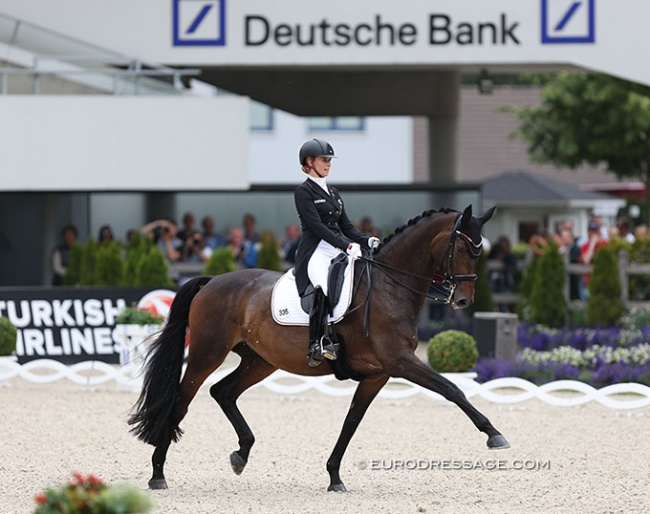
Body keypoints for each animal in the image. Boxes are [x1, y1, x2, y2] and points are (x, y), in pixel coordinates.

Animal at [129, 204, 508, 492]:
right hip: (208, 353)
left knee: (223, 391)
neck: (389, 286)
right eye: (463, 249)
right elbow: (452, 388)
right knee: (182, 400)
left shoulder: (378, 374)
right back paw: (158, 474)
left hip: (260, 361)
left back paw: (241, 454)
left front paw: (334, 477)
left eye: (480, 250)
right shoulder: (401, 362)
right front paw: (494, 434)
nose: (462, 300)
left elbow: (351, 421)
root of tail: (212, 282)